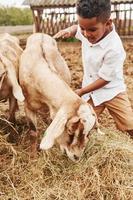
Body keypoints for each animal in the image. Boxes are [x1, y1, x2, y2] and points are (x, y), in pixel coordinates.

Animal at [19, 32, 98, 161]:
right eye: (70, 130)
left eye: (88, 133)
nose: (77, 157)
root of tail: (41, 33)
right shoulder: (28, 106)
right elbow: (33, 132)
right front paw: (33, 156)